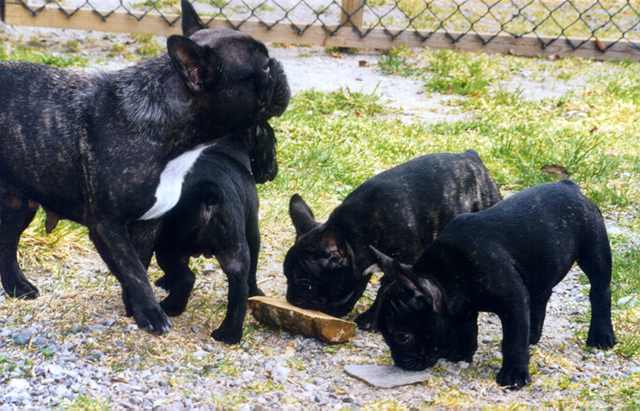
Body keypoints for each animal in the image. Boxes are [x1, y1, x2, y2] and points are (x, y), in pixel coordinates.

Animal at [153, 122, 278, 344]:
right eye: (273, 144)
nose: (275, 168)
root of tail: (208, 193)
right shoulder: (252, 231)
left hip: (167, 246)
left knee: (185, 276)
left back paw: (171, 307)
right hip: (234, 252)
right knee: (238, 290)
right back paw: (229, 334)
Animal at [284, 151, 500, 332]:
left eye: (306, 284)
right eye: (285, 276)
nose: (291, 299)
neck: (356, 233)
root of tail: (471, 157)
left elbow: (385, 289)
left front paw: (370, 319)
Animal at [372, 182, 616, 392]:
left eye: (402, 337)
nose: (399, 361)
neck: (445, 273)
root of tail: (569, 186)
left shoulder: (513, 302)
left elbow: (513, 340)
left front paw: (514, 374)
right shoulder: (464, 306)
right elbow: (467, 327)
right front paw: (461, 353)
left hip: (594, 251)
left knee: (599, 292)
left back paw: (601, 336)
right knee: (541, 296)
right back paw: (533, 335)